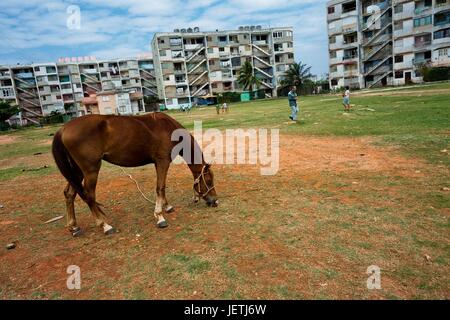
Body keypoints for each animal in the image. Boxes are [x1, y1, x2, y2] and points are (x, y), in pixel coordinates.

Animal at [51, 111, 217, 236]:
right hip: (90, 170)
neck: (168, 129)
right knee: (89, 196)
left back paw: (74, 227)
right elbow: (160, 187)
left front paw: (167, 206)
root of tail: (63, 128)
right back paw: (105, 225)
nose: (215, 201)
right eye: (209, 181)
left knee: (69, 194)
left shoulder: (159, 163)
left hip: (76, 171)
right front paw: (160, 216)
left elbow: (161, 188)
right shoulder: (163, 161)